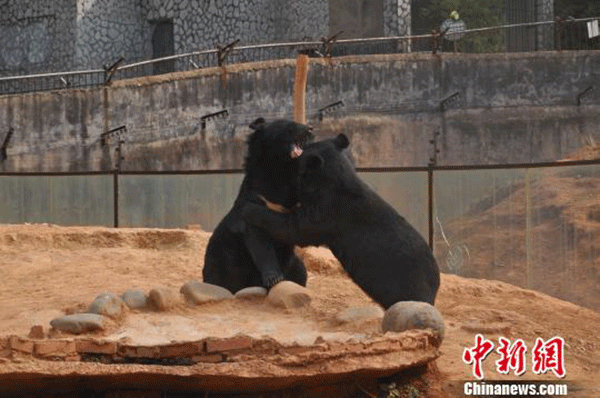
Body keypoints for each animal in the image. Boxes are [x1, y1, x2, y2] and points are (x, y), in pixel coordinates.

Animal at [203, 118, 314, 292]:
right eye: (289, 126)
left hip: (294, 264)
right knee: (220, 277)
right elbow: (259, 242)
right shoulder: (254, 201)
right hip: (222, 258)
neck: (280, 170)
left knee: (301, 272)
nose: (310, 128)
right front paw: (274, 279)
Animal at [243, 134, 440, 308]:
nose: (295, 150)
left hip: (406, 282)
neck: (331, 179)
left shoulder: (328, 212)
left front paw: (250, 209)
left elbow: (296, 228)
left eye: (296, 166)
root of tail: (435, 284)